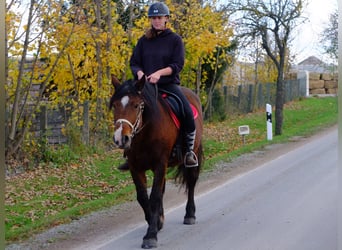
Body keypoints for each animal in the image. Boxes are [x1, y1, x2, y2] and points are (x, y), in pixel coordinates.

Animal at [109, 75, 203, 249]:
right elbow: (143, 197)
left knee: (191, 181)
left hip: (191, 154)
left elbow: (154, 197)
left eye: (136, 105)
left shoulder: (160, 164)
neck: (146, 132)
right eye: (115, 105)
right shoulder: (136, 167)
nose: (121, 138)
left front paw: (150, 235)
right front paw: (156, 221)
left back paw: (190, 214)